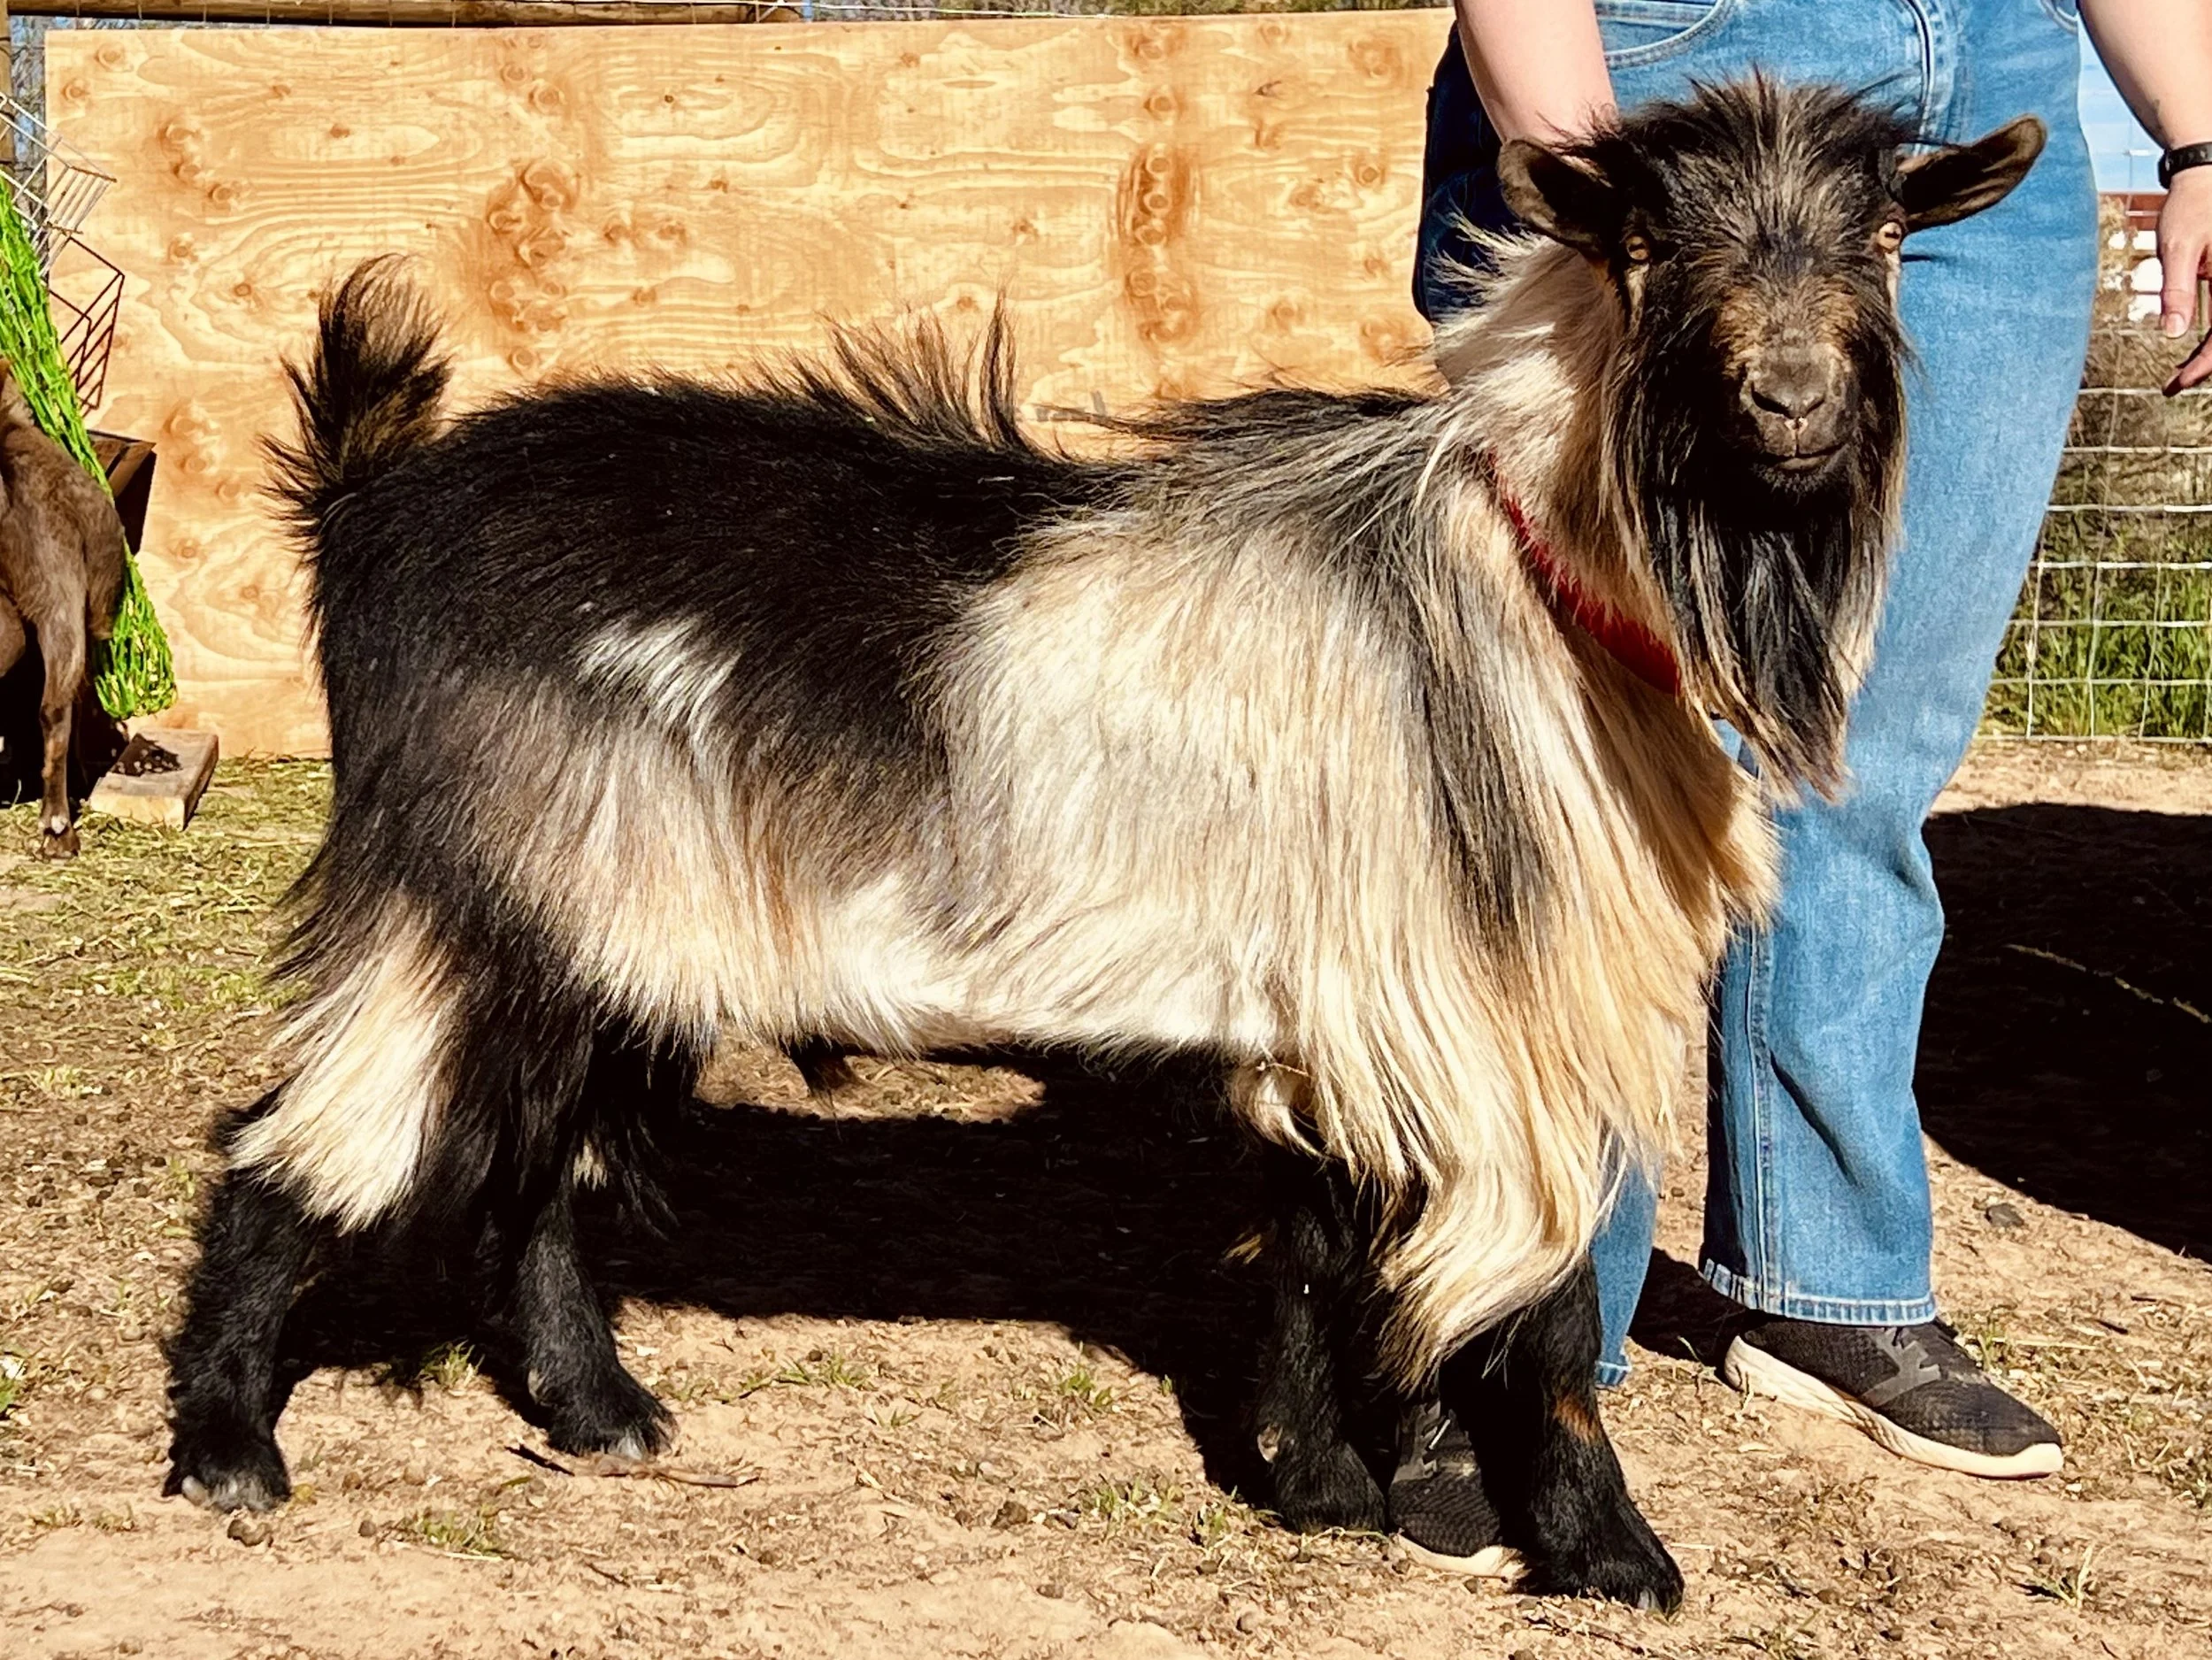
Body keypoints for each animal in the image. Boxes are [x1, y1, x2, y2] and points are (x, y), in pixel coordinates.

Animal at [162, 79, 2042, 1609]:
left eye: (1884, 237)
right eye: (1654, 237)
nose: (1792, 401)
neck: (1517, 571)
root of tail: (370, 505)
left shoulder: (1337, 1009)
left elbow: (1316, 1249)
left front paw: (1322, 1484)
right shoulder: (1465, 1014)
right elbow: (1543, 1307)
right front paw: (1612, 1554)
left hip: (623, 927)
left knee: (542, 1169)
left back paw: (600, 1412)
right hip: (466, 893)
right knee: (294, 1143)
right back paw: (231, 1453)